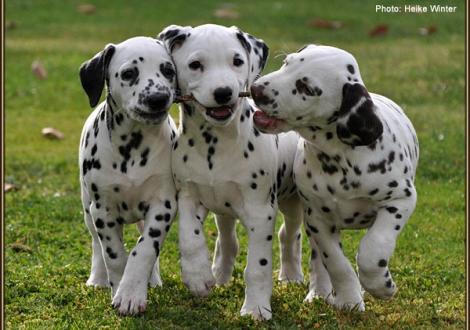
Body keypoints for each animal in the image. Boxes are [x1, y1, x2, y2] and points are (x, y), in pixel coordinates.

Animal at [79, 36, 178, 314]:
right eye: (129, 73)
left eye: (168, 70)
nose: (158, 97)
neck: (132, 147)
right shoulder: (103, 211)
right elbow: (113, 255)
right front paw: (118, 286)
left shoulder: (163, 206)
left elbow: (144, 250)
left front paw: (131, 292)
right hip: (87, 209)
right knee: (96, 245)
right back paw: (97, 278)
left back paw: (152, 279)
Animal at [160, 23, 302, 320]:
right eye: (195, 65)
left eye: (237, 61)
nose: (223, 92)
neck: (215, 145)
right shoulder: (188, 196)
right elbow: (189, 239)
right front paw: (197, 276)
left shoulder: (261, 211)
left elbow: (257, 267)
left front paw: (256, 307)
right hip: (223, 209)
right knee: (227, 241)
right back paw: (220, 274)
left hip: (293, 201)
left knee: (289, 235)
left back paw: (291, 275)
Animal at [250, 43, 418, 312]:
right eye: (287, 63)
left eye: (306, 88)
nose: (256, 90)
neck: (340, 159)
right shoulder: (318, 218)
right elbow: (336, 263)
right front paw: (349, 298)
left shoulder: (400, 200)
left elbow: (373, 249)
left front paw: (382, 286)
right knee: (318, 260)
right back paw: (319, 292)